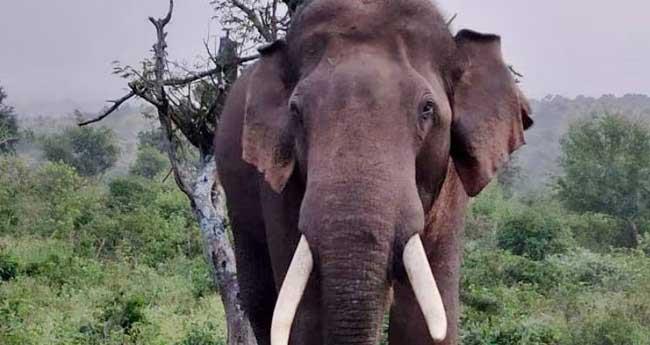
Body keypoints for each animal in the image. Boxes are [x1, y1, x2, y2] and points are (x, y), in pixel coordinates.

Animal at [215, 0, 528, 344]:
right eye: (295, 111)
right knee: (260, 299)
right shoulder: (280, 186)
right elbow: (305, 316)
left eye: (427, 109)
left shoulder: (450, 189)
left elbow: (424, 319)